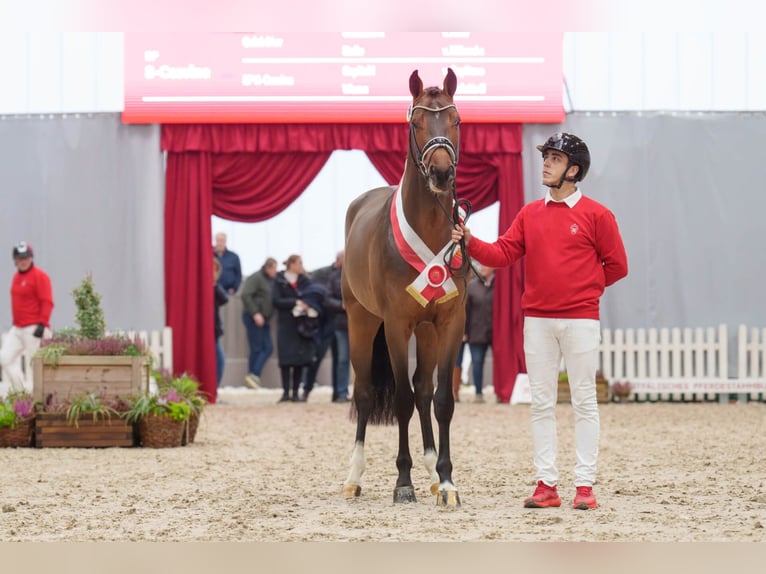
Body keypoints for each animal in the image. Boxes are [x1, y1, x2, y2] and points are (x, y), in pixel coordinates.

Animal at [342, 68, 468, 508]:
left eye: (456, 120)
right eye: (416, 123)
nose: (442, 173)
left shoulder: (450, 323)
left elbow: (442, 400)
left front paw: (446, 481)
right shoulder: (396, 325)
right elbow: (399, 400)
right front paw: (403, 482)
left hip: (426, 331)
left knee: (424, 391)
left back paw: (431, 472)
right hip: (361, 320)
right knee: (364, 392)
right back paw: (354, 477)